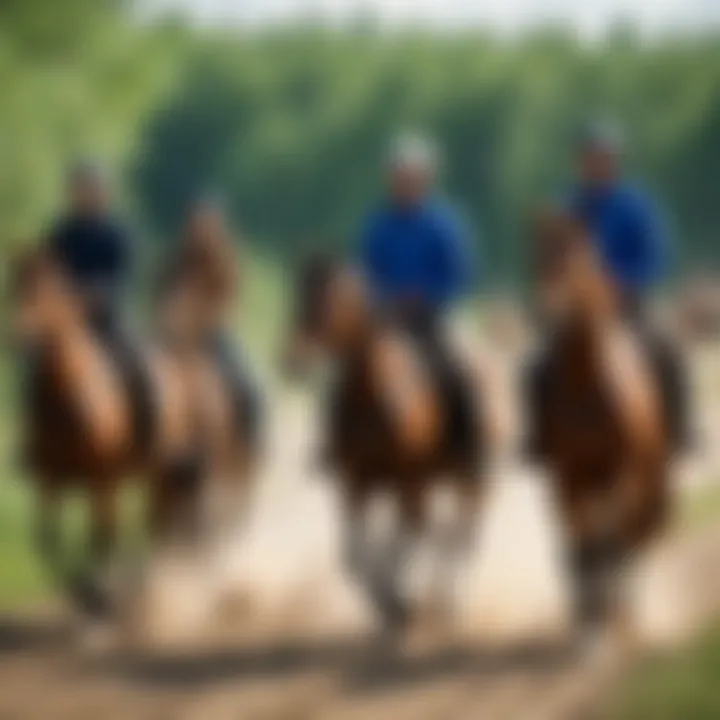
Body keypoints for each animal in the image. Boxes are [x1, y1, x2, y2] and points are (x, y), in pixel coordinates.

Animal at [9, 248, 253, 620]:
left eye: (44, 292)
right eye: (14, 285)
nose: (16, 337)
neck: (69, 401)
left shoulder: (103, 480)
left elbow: (102, 537)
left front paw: (99, 596)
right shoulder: (49, 480)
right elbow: (47, 538)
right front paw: (87, 593)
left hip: (169, 471)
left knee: (165, 526)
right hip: (164, 476)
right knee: (164, 525)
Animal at [282, 258, 496, 632]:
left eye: (331, 301)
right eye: (299, 294)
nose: (293, 359)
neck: (372, 397)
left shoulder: (408, 479)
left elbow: (403, 540)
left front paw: (398, 602)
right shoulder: (355, 483)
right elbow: (355, 554)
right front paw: (388, 602)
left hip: (469, 477)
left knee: (462, 531)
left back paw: (446, 598)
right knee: (440, 531)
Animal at [528, 208, 668, 648]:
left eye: (574, 257)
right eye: (536, 256)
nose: (544, 311)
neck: (587, 382)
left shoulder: (622, 471)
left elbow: (610, 536)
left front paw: (612, 618)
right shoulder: (568, 475)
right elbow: (584, 539)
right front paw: (591, 622)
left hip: (643, 475)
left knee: (631, 533)